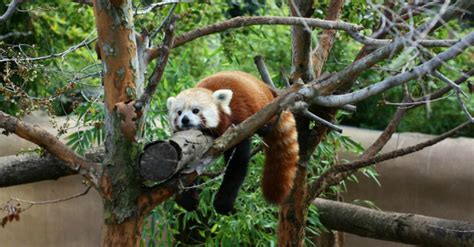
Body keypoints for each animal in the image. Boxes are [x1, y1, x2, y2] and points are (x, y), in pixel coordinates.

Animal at [167, 70, 298, 213]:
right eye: (179, 112)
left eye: (195, 110)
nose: (185, 120)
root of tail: (268, 88)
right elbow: (188, 168)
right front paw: (188, 200)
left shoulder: (238, 124)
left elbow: (237, 164)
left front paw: (223, 203)